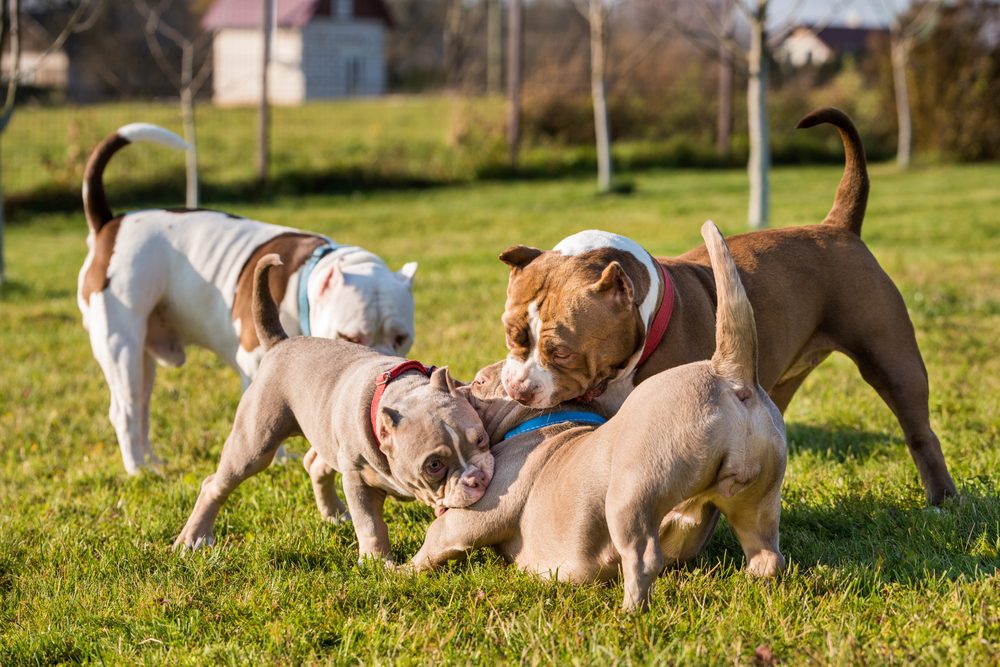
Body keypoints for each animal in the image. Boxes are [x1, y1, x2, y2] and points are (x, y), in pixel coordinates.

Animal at [77, 122, 418, 472]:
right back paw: (137, 469)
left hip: (143, 354)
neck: (305, 279)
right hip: (121, 347)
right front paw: (280, 461)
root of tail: (110, 224)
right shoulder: (256, 361)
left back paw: (154, 463)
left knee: (143, 405)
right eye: (349, 337)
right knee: (125, 410)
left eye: (401, 337)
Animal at [177, 256, 496, 564]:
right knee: (216, 483)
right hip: (255, 443)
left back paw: (333, 514)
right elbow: (370, 524)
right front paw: (377, 562)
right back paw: (194, 538)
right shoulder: (357, 480)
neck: (403, 392)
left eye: (481, 439)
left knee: (315, 464)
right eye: (434, 465)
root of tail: (279, 343)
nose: (477, 478)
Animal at [410, 222, 784, 612]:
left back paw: (631, 612)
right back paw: (755, 586)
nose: (459, 385)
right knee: (766, 554)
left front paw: (398, 569)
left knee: (643, 557)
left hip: (630, 496)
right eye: (510, 336)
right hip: (757, 500)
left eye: (480, 381)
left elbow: (435, 539)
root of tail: (728, 373)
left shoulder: (472, 516)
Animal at [496, 108, 956, 506]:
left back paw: (942, 498)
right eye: (510, 334)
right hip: (779, 377)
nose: (518, 389)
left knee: (919, 428)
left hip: (890, 356)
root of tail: (837, 227)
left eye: (561, 352)